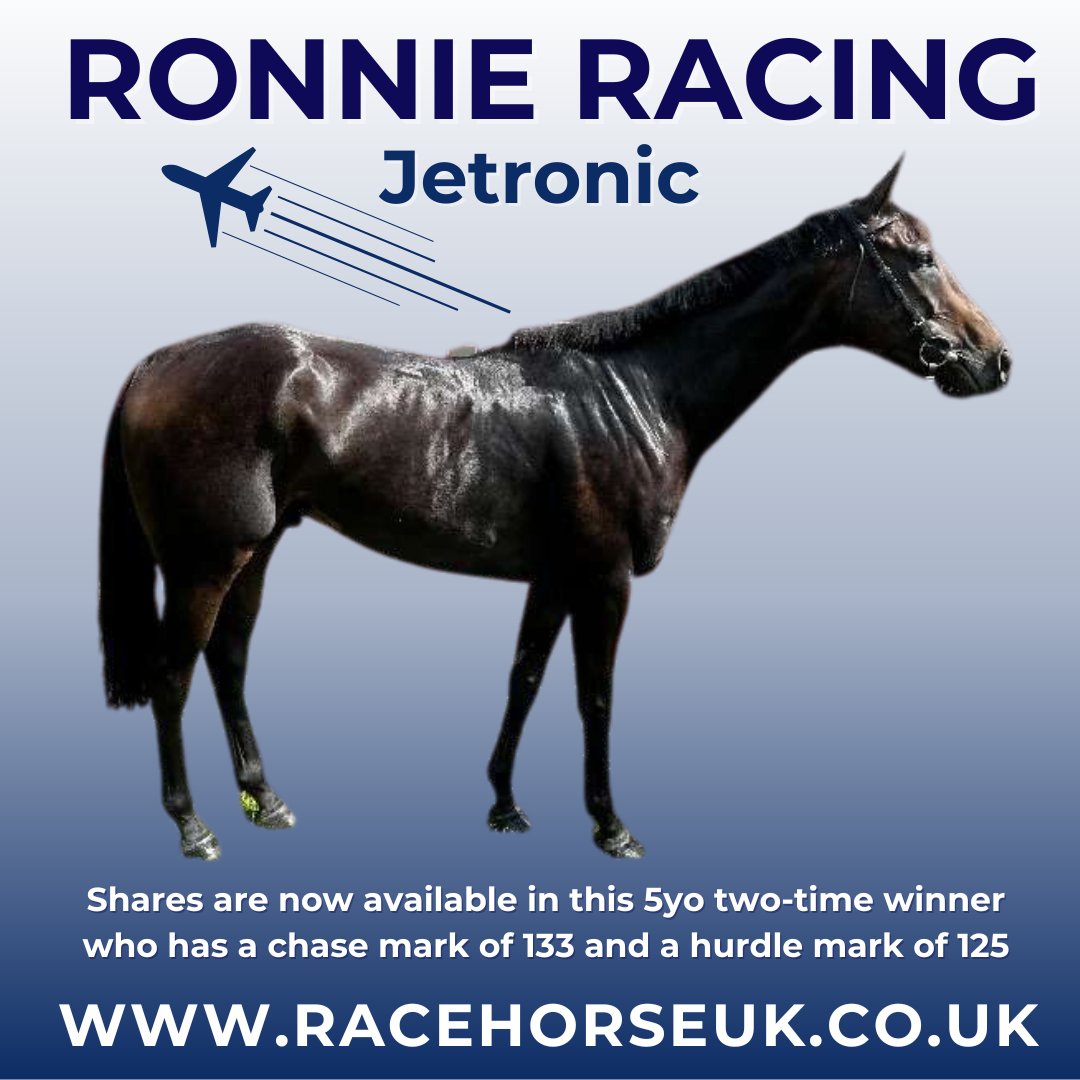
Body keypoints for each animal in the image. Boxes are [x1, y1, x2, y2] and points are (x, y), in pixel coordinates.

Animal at [99, 160, 1011, 860]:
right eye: (919, 257)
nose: (993, 360)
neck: (640, 393)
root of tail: (157, 363)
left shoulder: (553, 577)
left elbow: (525, 680)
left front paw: (504, 805)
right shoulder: (604, 579)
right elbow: (593, 697)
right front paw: (611, 827)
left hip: (255, 551)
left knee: (229, 663)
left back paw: (268, 801)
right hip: (205, 561)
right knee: (175, 673)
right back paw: (194, 828)